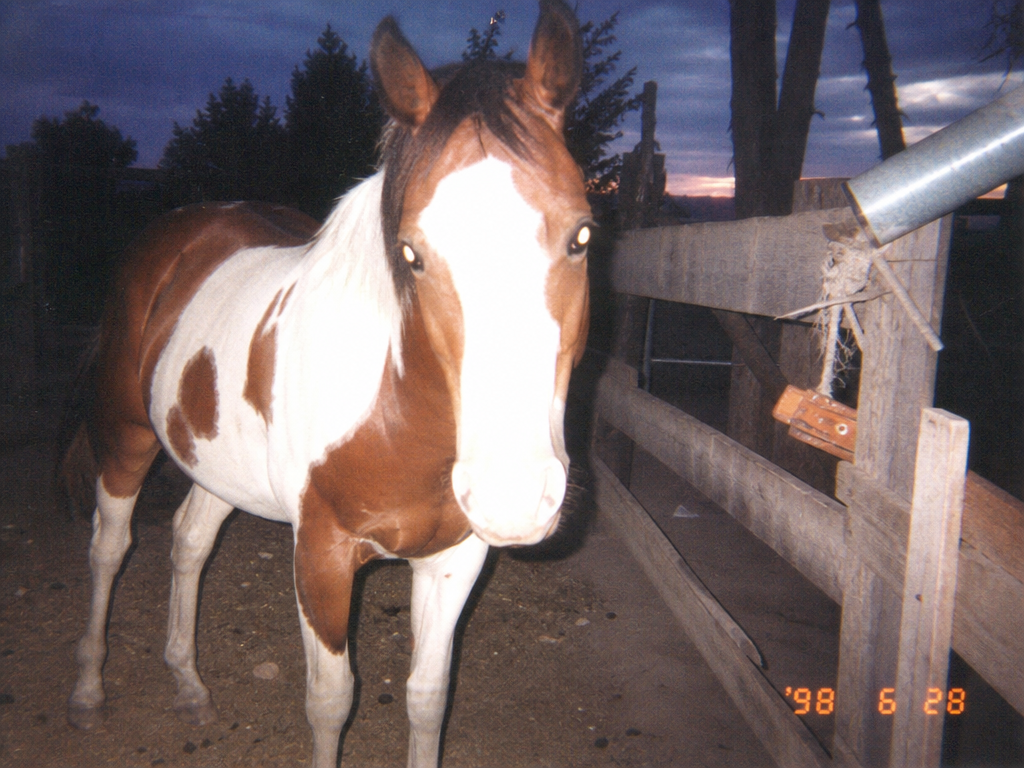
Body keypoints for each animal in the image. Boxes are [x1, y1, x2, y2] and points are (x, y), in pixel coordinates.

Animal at [64, 2, 591, 766]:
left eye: (582, 236)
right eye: (411, 253)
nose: (514, 498)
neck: (396, 419)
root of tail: (182, 229)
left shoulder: (455, 560)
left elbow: (429, 698)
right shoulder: (320, 556)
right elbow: (331, 701)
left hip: (217, 461)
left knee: (190, 542)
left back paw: (188, 684)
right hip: (126, 435)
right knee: (109, 548)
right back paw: (87, 691)